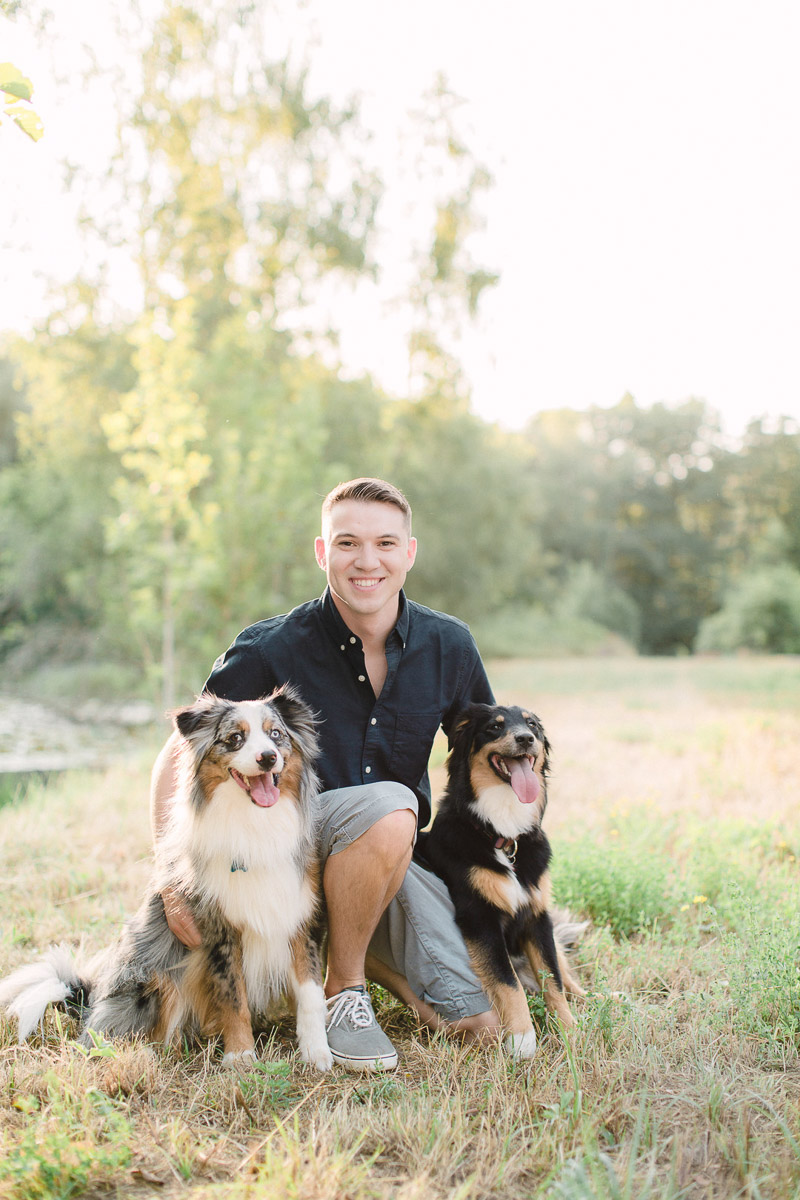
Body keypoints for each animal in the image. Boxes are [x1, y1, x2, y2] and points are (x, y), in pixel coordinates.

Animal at [419, 705, 582, 1056]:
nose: (526, 738)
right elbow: (509, 982)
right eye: (494, 727)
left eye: (532, 724)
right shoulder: (480, 918)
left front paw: (570, 1030)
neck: (504, 834)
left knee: (566, 975)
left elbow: (553, 979)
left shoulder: (537, 916)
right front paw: (522, 1038)